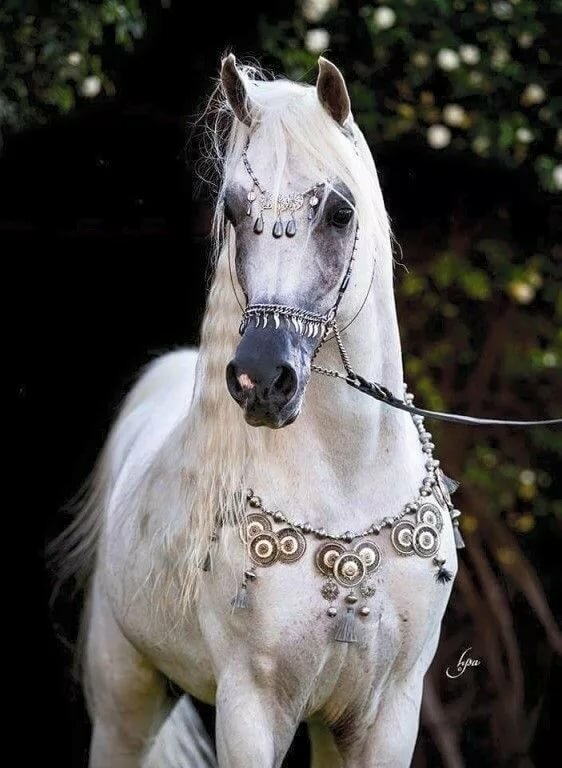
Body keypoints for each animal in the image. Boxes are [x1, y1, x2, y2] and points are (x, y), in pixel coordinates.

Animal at [59, 54, 459, 767]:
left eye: (339, 212)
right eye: (234, 209)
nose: (260, 379)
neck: (346, 486)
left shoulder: (385, 713)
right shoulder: (251, 708)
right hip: (124, 701)